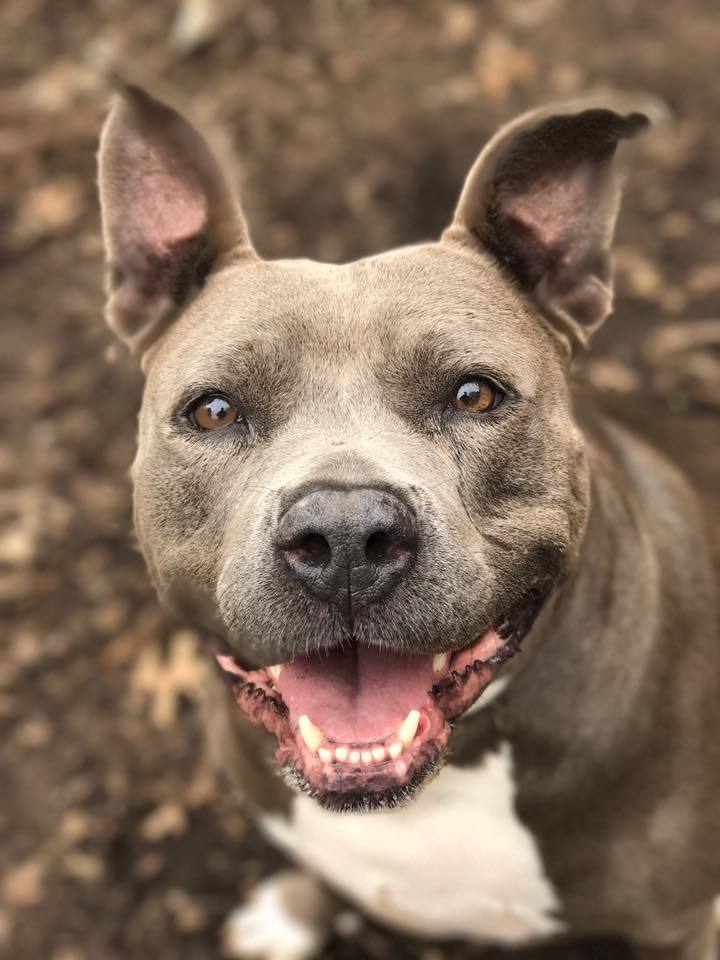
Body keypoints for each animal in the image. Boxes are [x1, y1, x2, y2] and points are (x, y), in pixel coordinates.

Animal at [97, 84, 720, 960]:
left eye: (475, 395)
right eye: (214, 411)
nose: (344, 539)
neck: (443, 786)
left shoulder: (679, 924)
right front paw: (293, 914)